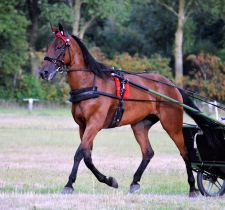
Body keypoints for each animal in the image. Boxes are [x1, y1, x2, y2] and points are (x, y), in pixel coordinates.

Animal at [38, 23, 200, 196]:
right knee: (148, 152)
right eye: (49, 46)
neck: (91, 85)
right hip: (139, 125)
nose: (43, 72)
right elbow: (87, 156)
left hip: (172, 125)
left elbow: (79, 153)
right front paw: (109, 180)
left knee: (185, 152)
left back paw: (192, 187)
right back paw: (135, 182)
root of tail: (172, 85)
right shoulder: (83, 126)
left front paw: (69, 184)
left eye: (60, 46)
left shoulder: (94, 124)